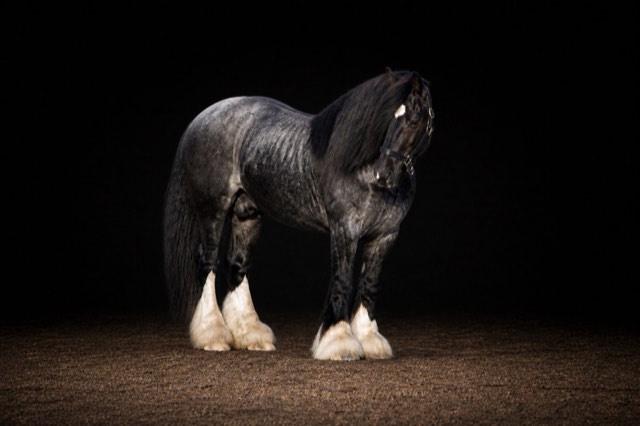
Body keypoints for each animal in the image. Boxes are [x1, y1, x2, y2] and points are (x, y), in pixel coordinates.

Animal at [163, 68, 434, 360]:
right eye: (384, 116)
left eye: (414, 119)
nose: (383, 174)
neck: (361, 171)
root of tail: (202, 118)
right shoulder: (345, 229)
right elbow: (342, 281)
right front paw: (338, 342)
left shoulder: (384, 235)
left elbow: (369, 285)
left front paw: (369, 340)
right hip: (213, 209)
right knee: (207, 265)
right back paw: (212, 336)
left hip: (246, 212)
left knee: (237, 265)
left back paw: (251, 336)